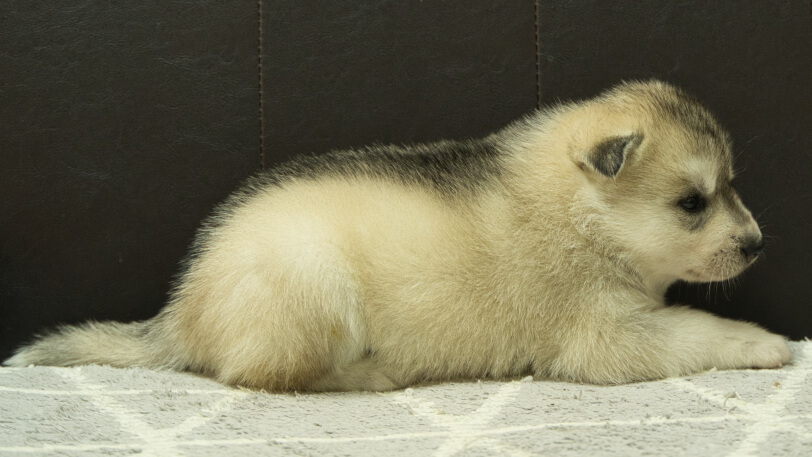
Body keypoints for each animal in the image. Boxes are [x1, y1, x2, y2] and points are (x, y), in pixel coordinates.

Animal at [4, 81, 792, 388]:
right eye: (691, 202)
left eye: (731, 185)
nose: (757, 243)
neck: (583, 212)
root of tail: (177, 313)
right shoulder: (603, 336)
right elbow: (694, 330)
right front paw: (763, 342)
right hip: (312, 282)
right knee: (261, 375)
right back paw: (371, 373)